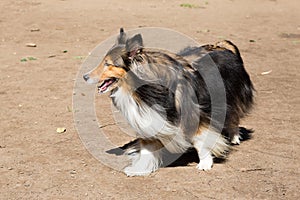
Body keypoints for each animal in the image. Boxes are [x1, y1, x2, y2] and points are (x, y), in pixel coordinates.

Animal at [83, 28, 254, 177]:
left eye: (108, 64)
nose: (84, 76)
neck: (143, 90)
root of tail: (222, 45)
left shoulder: (194, 115)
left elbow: (200, 141)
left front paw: (205, 163)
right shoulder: (149, 119)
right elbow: (146, 150)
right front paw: (139, 169)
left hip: (229, 96)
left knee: (234, 115)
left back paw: (234, 137)